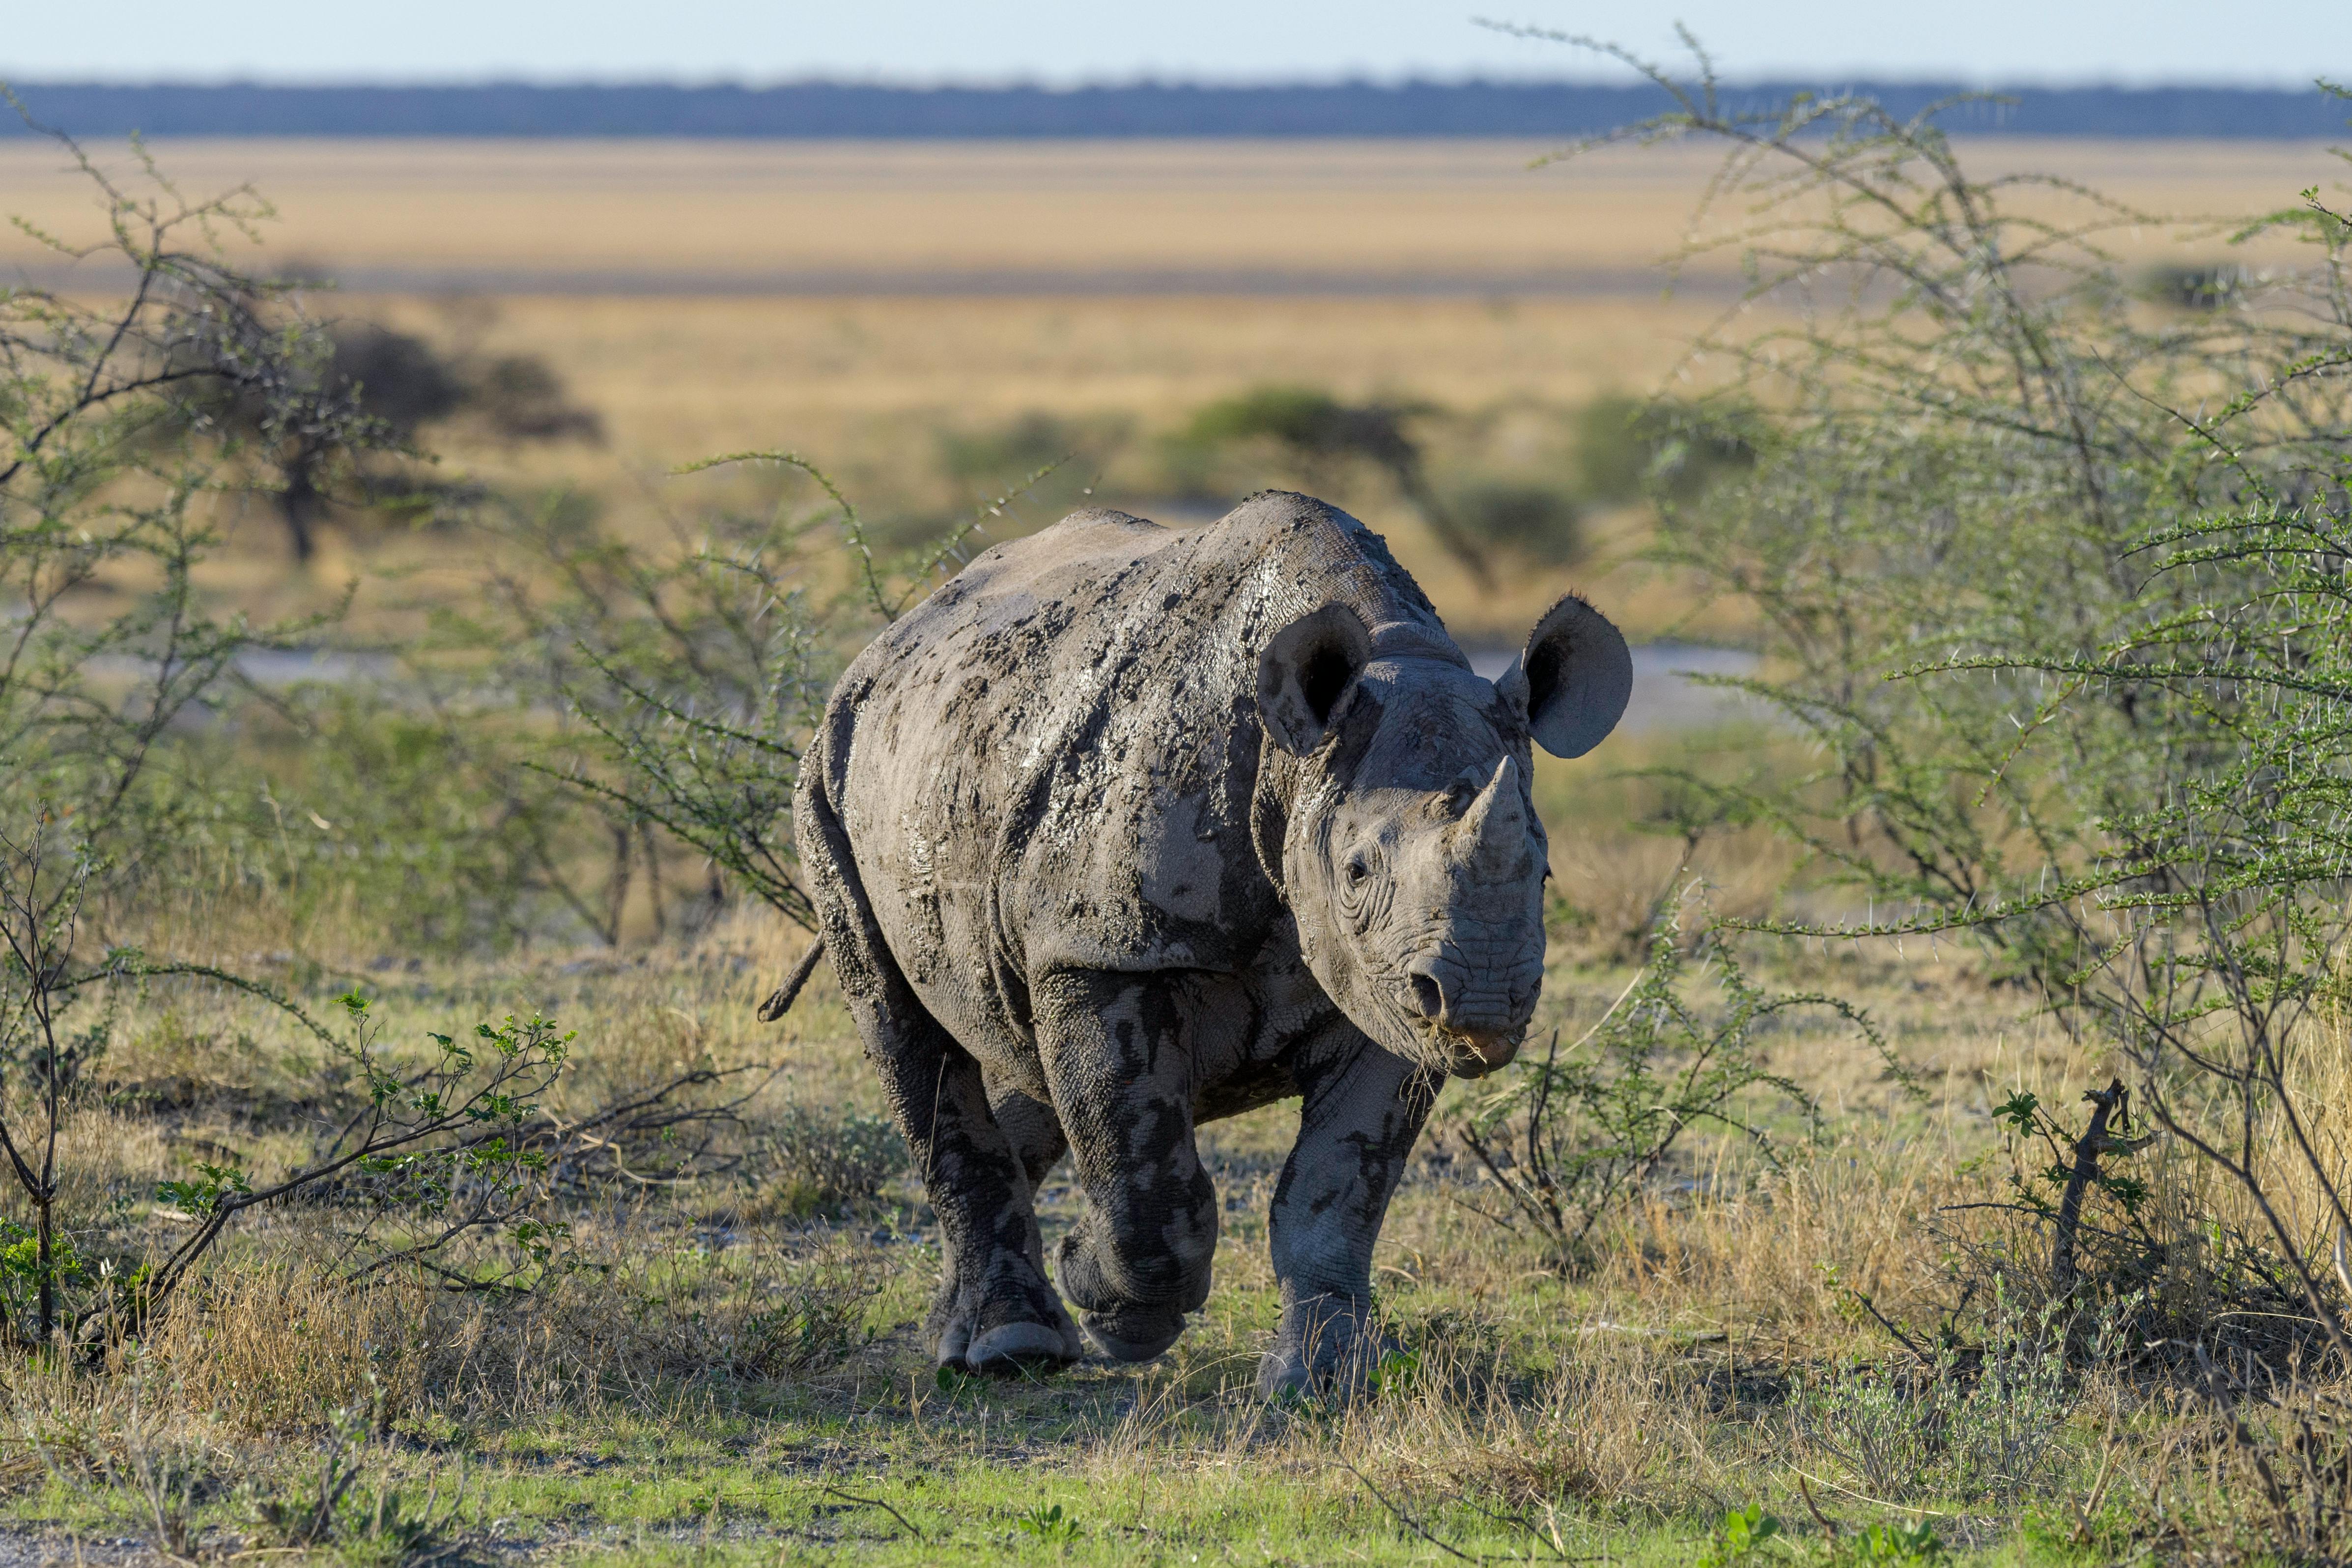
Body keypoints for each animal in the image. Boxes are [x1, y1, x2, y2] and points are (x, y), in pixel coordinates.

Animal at [771, 490, 1630, 1393]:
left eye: (1542, 871)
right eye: (1356, 870)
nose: (1485, 1001)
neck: (1295, 760)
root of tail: (894, 637)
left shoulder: (1389, 994)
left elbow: (1334, 1190)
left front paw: (1321, 1379)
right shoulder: (1101, 950)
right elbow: (1140, 1171)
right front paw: (1111, 1303)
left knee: (1016, 1054)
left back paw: (964, 1330)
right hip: (824, 772)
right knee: (902, 1027)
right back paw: (1012, 1350)